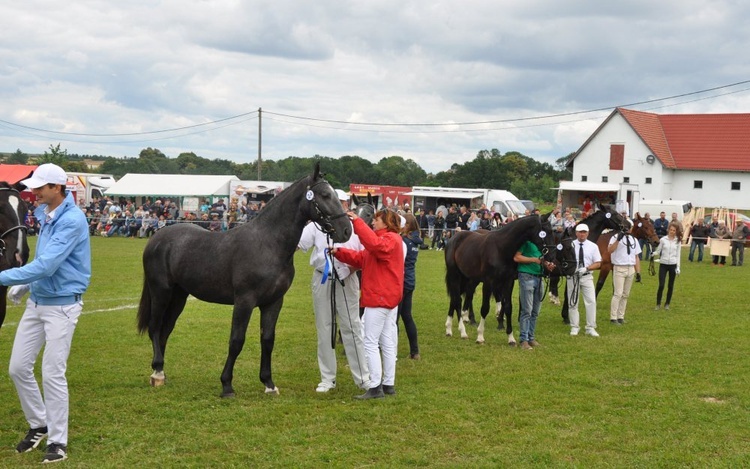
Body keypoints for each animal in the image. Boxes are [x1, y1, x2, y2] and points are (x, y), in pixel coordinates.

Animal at [137, 163, 354, 396]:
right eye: (325, 195)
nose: (346, 231)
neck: (268, 244)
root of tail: (157, 238)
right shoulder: (244, 301)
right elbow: (236, 340)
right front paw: (226, 385)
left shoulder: (273, 302)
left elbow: (267, 340)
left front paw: (269, 383)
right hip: (161, 292)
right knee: (155, 327)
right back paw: (157, 373)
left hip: (179, 296)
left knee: (165, 330)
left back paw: (161, 371)